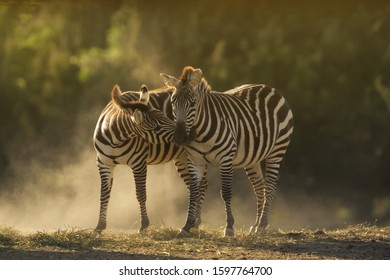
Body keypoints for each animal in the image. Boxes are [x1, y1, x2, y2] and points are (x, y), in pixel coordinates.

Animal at [92, 84, 207, 233]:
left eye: (165, 116)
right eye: (156, 127)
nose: (191, 135)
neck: (116, 140)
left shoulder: (139, 162)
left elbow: (141, 194)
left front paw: (144, 225)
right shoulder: (103, 163)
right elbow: (104, 194)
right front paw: (99, 226)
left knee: (202, 185)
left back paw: (197, 222)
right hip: (181, 157)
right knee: (193, 186)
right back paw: (192, 222)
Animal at [161, 66, 292, 237]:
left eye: (193, 103)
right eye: (173, 102)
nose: (179, 137)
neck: (200, 134)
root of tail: (270, 88)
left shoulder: (225, 159)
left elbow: (226, 192)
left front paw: (229, 227)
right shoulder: (195, 161)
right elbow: (193, 192)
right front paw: (187, 226)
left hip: (277, 150)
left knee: (270, 185)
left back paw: (263, 224)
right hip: (252, 158)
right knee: (259, 187)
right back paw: (256, 225)